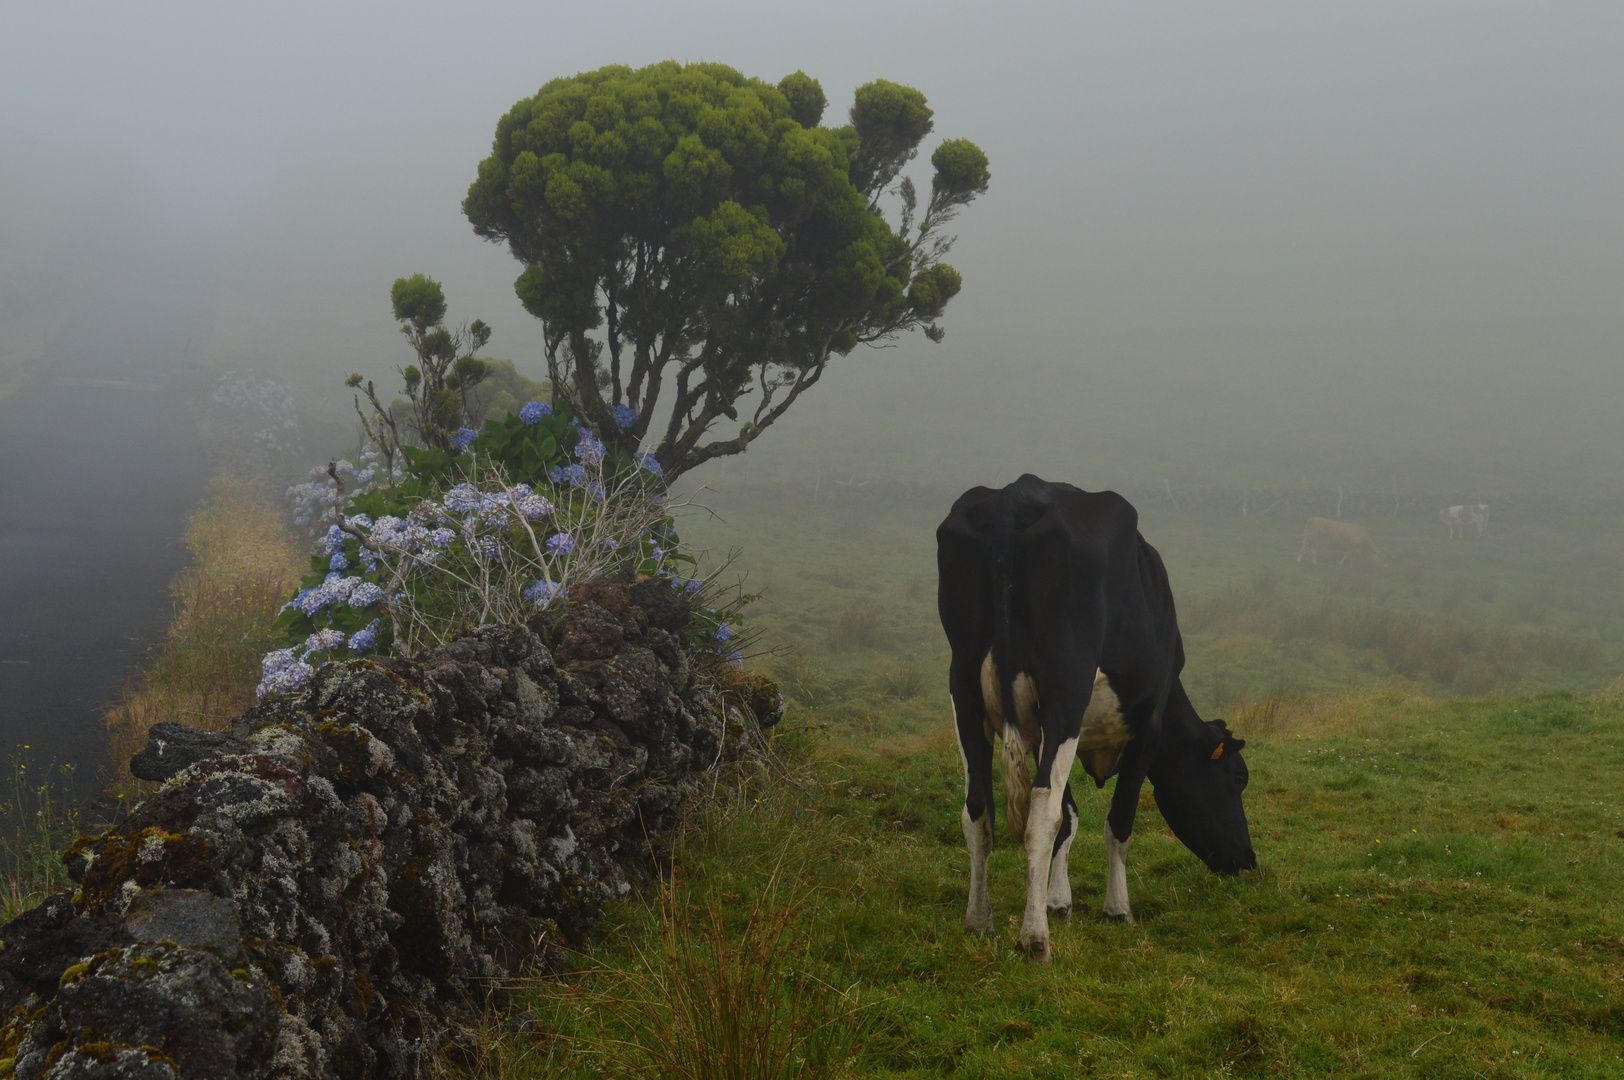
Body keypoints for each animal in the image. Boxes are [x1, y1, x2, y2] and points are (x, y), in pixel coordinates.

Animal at [941, 470, 1253, 961]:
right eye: (1238, 778)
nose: (1249, 861)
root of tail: (1014, 496)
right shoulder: (1147, 724)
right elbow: (1116, 821)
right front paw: (1117, 909)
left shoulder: (1039, 732)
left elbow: (1070, 816)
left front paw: (1058, 900)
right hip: (1066, 687)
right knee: (1040, 811)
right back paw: (1034, 939)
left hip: (965, 686)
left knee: (977, 809)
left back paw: (978, 921)